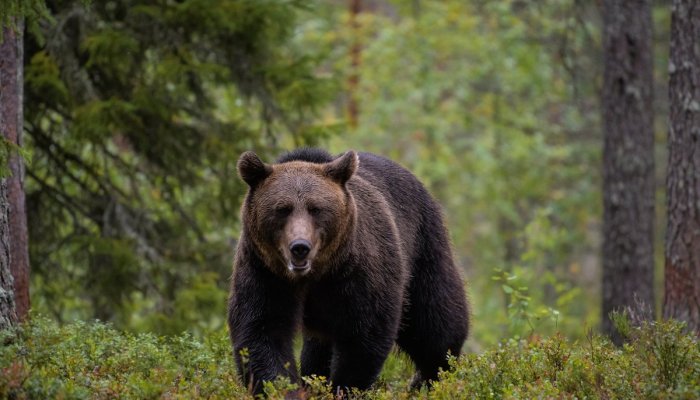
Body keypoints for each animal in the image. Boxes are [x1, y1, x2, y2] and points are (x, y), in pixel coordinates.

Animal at [228, 148, 469, 397]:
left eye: (315, 208)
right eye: (282, 209)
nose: (300, 247)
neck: (316, 274)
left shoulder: (358, 271)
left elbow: (364, 334)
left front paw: (343, 388)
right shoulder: (265, 272)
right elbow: (262, 331)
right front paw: (284, 389)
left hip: (423, 248)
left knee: (435, 324)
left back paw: (431, 379)